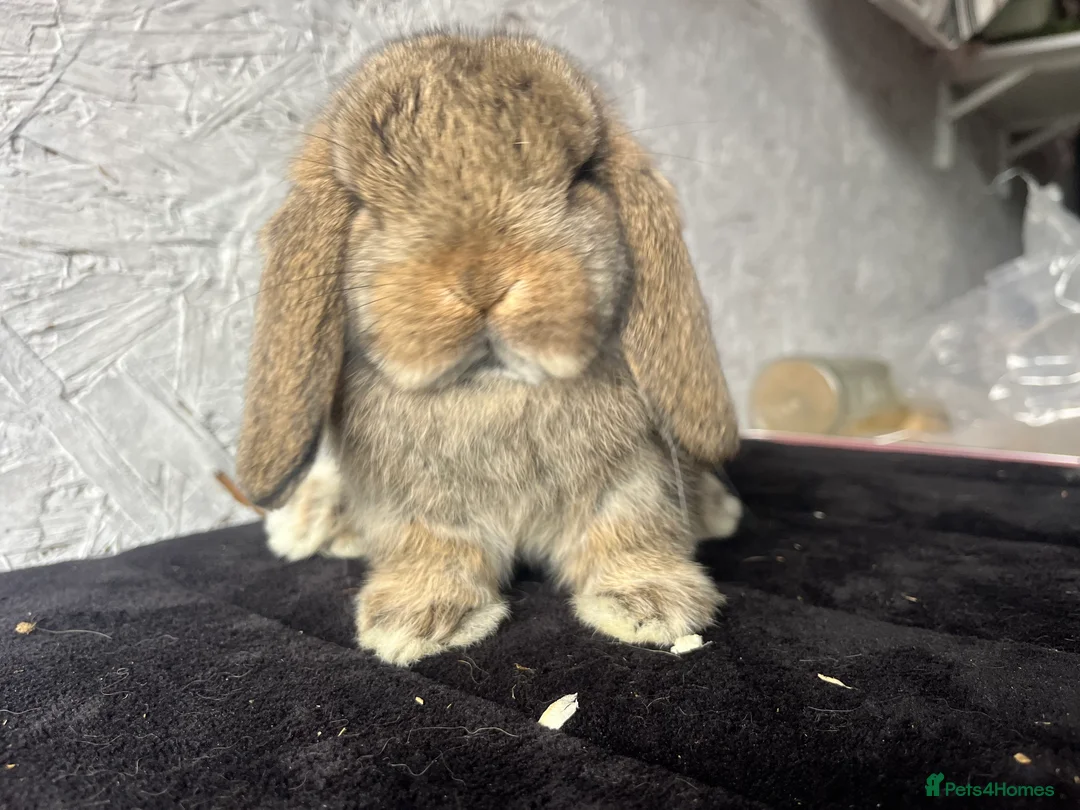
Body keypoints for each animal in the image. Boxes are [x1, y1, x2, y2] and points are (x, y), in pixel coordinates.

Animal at [236, 30, 743, 667]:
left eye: (581, 178)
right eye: (366, 205)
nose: (483, 281)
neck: (496, 386)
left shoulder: (632, 481)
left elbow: (628, 532)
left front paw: (652, 604)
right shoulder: (417, 504)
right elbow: (433, 551)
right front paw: (418, 621)